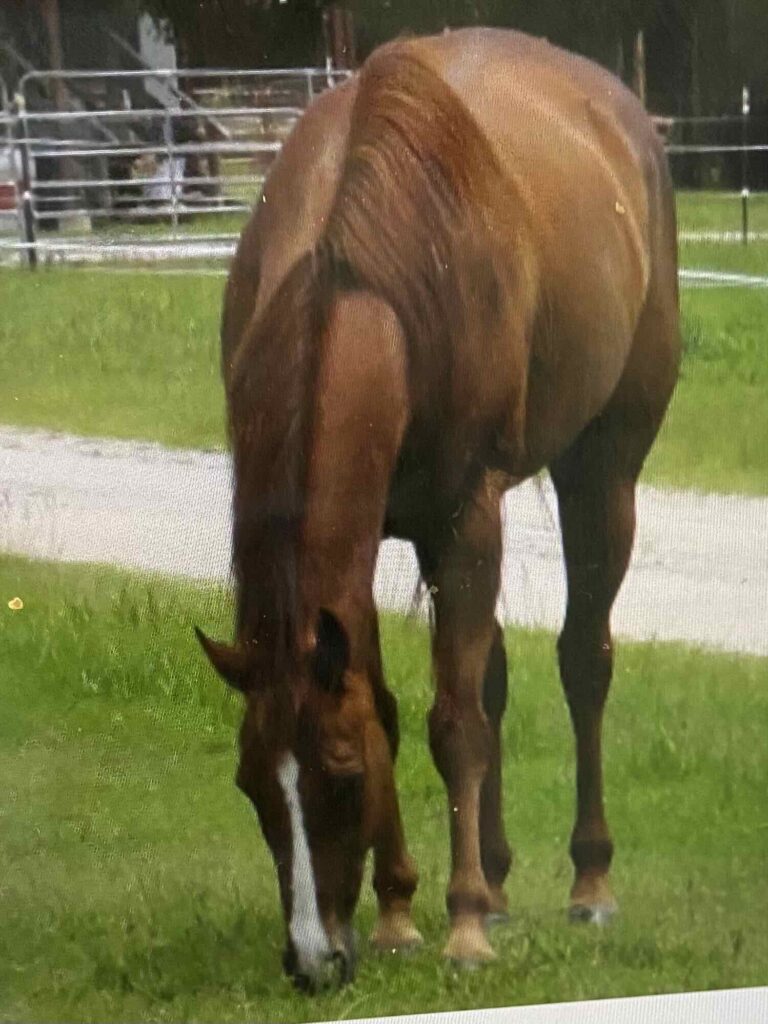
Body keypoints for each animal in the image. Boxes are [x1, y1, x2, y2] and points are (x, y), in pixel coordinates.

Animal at [196, 26, 680, 990]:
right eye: (251, 786)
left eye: (342, 778)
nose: (313, 960)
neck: (360, 277)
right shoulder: (373, 540)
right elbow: (402, 702)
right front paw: (398, 913)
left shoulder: (464, 519)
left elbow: (453, 723)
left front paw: (460, 929)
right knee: (492, 674)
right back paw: (493, 880)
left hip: (602, 474)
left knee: (583, 662)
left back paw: (587, 882)